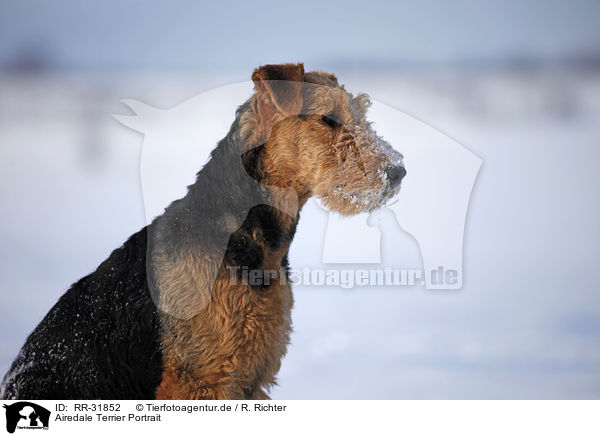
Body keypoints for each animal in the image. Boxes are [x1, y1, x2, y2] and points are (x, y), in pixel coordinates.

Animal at [0, 61, 406, 398]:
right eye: (329, 118)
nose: (398, 172)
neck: (246, 237)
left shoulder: (251, 378)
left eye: (361, 113)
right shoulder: (201, 380)